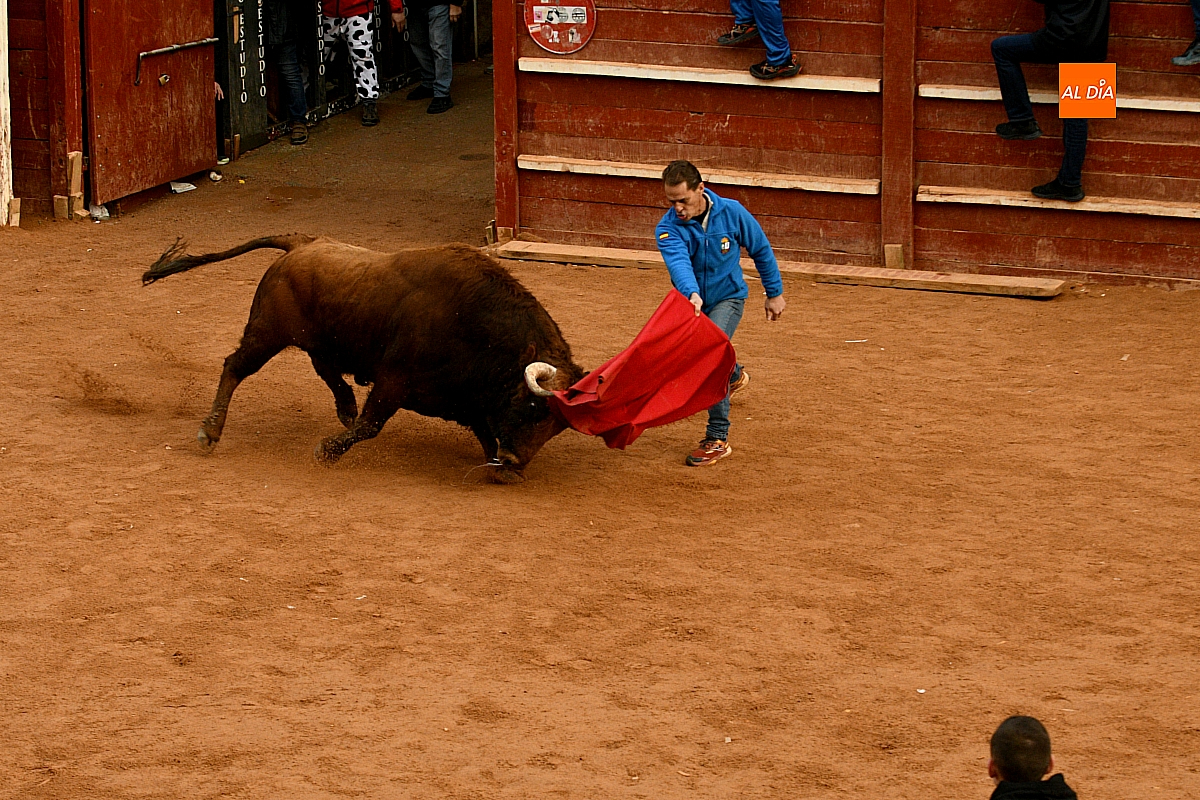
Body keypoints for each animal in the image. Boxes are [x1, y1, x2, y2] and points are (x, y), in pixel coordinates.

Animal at [142, 235, 585, 483]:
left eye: (558, 426)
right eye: (534, 408)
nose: (515, 463)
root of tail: (301, 244)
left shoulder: (469, 397)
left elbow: (484, 431)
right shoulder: (395, 381)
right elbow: (371, 426)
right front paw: (327, 452)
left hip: (318, 340)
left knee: (325, 369)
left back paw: (345, 406)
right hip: (266, 334)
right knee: (234, 367)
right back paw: (210, 431)